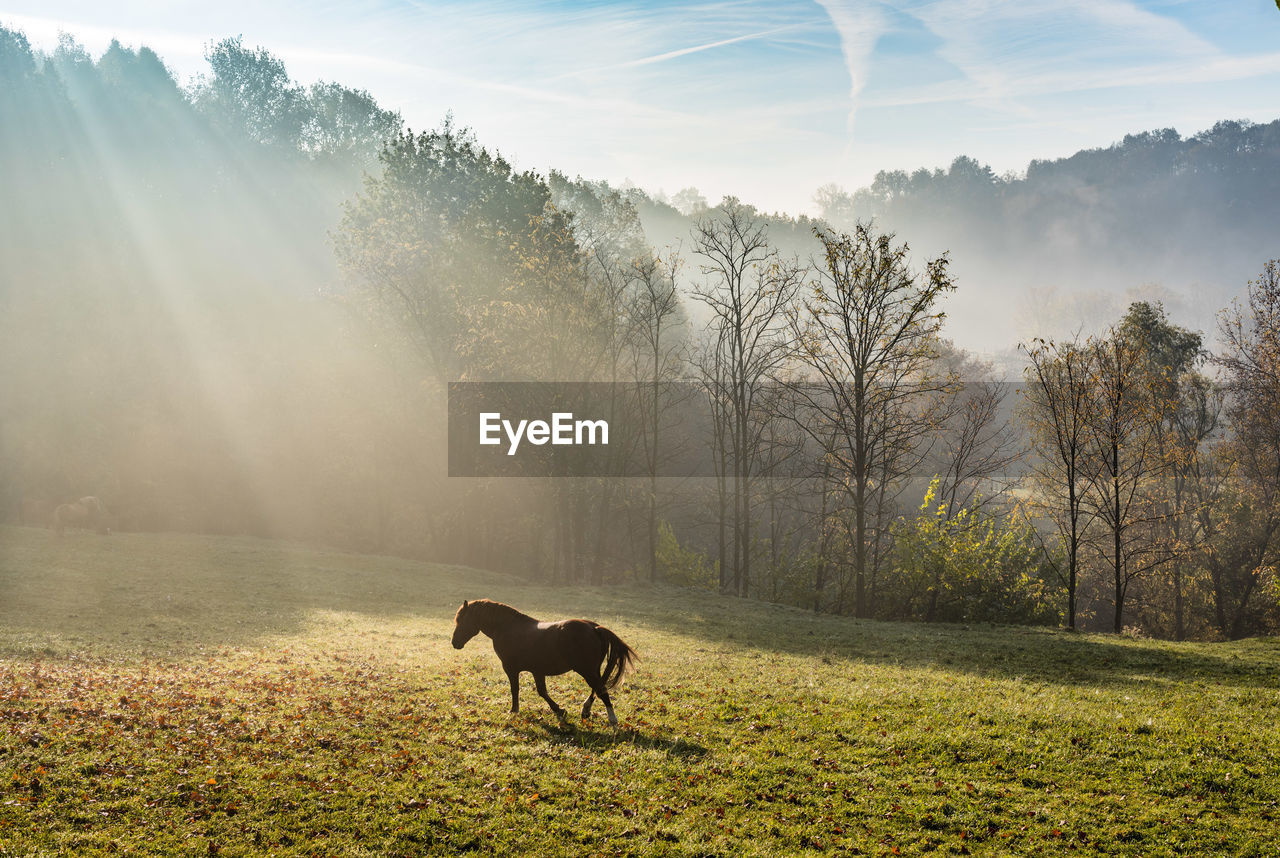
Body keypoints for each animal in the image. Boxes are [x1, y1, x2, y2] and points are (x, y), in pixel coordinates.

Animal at [453, 601, 637, 727]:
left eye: (462, 620)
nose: (454, 643)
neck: (508, 628)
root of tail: (595, 628)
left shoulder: (511, 668)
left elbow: (516, 689)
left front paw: (513, 711)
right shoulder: (537, 670)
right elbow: (542, 691)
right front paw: (560, 710)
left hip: (587, 670)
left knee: (602, 691)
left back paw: (612, 720)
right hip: (591, 670)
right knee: (597, 689)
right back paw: (586, 710)